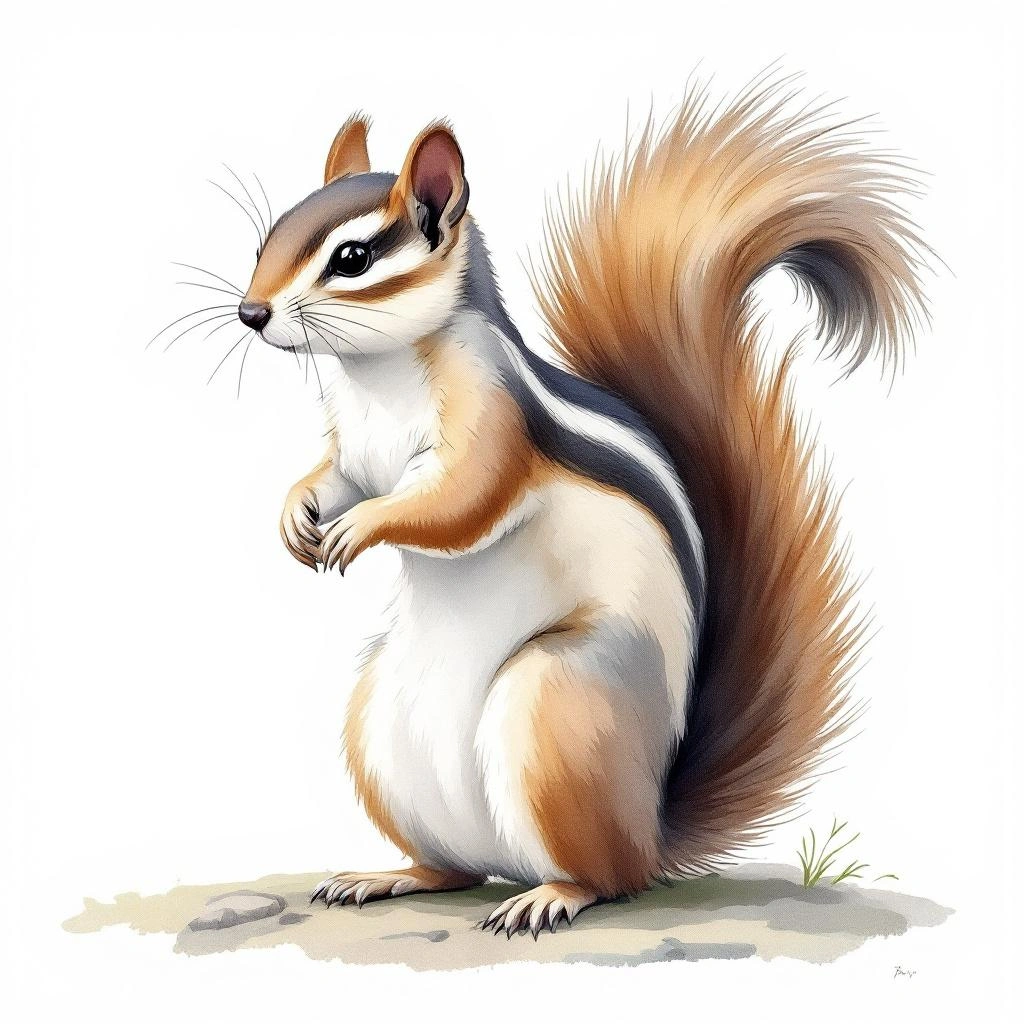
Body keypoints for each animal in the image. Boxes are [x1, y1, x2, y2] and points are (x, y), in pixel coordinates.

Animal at [232, 78, 928, 937]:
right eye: (267, 238)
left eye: (351, 259)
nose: (250, 313)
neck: (376, 374)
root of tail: (651, 827)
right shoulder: (356, 453)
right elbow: (333, 478)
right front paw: (296, 515)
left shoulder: (493, 423)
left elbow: (459, 503)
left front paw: (361, 529)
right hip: (382, 729)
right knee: (455, 868)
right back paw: (389, 876)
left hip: (554, 701)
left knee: (607, 877)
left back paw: (551, 896)